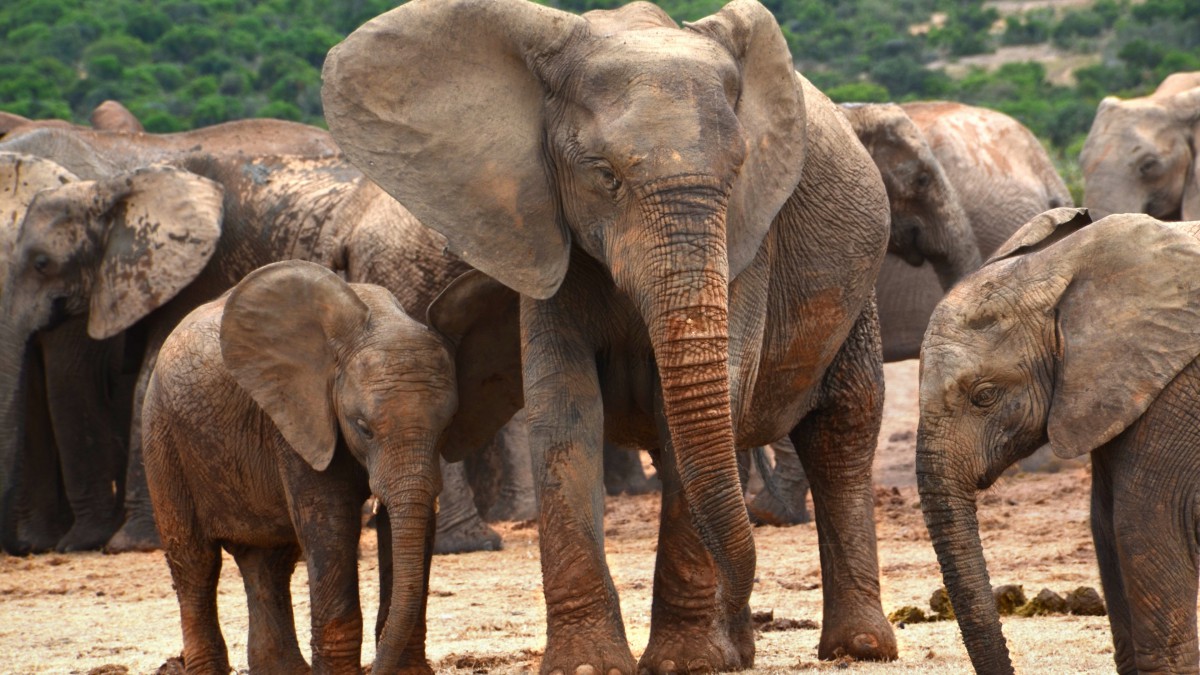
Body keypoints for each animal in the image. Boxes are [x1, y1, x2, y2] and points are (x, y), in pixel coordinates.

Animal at [144, 260, 521, 674]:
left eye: (448, 424)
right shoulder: (298, 418)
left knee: (269, 563)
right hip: (161, 435)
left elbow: (415, 527)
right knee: (195, 564)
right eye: (362, 427)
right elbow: (331, 524)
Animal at [324, 0, 896, 670]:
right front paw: (589, 664)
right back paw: (743, 650)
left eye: (738, 173)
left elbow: (706, 406)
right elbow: (564, 411)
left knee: (842, 429)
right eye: (604, 176)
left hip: (860, 292)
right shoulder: (541, 228)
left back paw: (855, 647)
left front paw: (685, 664)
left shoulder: (752, 239)